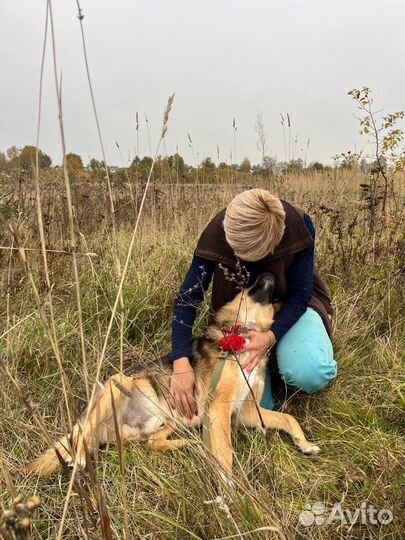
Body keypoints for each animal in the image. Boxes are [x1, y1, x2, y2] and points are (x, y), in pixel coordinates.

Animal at [23, 274, 320, 476]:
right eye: (248, 286)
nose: (268, 273)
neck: (243, 332)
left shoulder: (246, 411)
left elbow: (288, 418)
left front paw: (305, 444)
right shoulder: (219, 408)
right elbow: (225, 452)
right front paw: (229, 488)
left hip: (174, 419)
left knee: (153, 443)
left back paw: (188, 444)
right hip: (116, 385)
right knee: (81, 436)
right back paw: (80, 458)